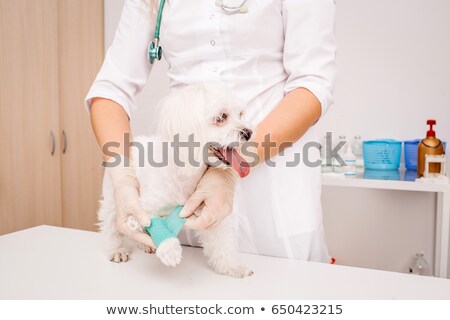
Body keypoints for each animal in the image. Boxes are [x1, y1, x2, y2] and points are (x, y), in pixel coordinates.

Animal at [97, 83, 255, 278]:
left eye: (241, 114)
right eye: (221, 117)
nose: (248, 133)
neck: (185, 173)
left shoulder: (211, 212)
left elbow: (222, 242)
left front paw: (232, 267)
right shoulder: (145, 209)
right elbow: (150, 224)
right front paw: (169, 249)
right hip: (114, 200)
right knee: (110, 226)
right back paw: (116, 249)